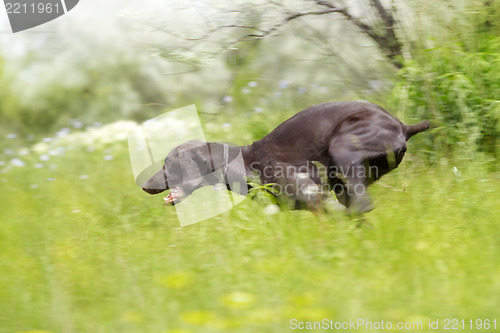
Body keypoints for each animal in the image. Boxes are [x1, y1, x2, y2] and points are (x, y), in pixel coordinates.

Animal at [142, 101, 430, 214]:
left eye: (168, 164)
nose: (144, 185)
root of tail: (403, 126)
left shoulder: (315, 198)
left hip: (342, 147)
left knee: (361, 205)